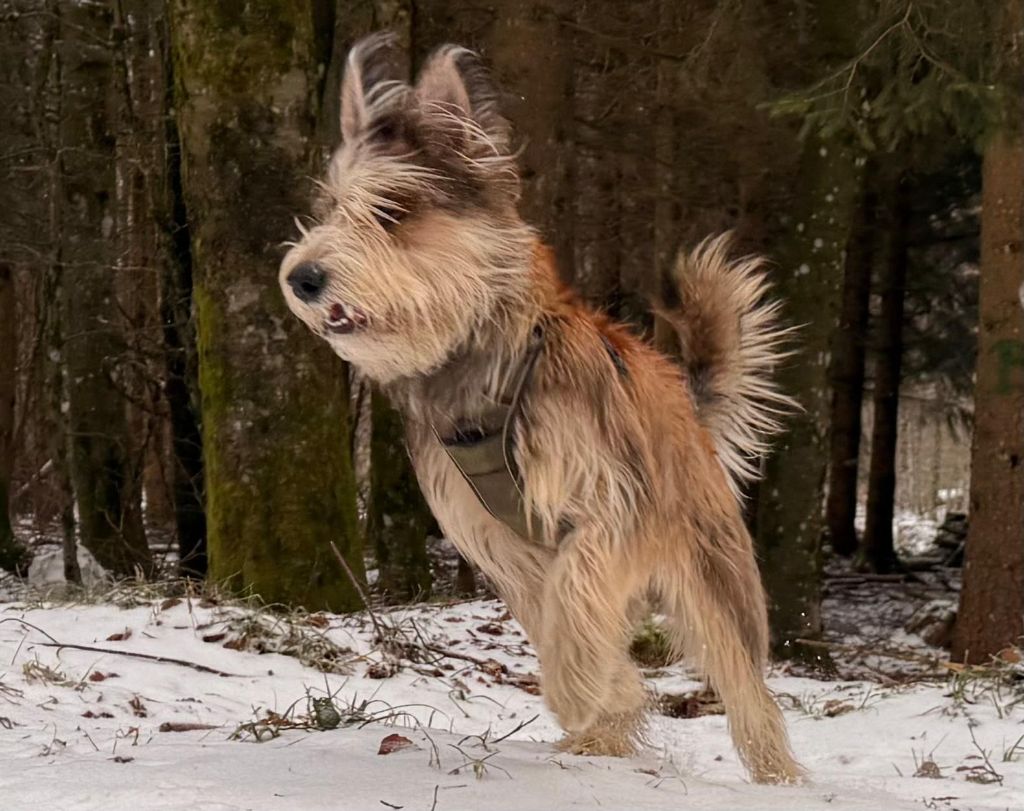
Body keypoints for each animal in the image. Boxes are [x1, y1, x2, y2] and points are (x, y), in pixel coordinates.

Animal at [282, 33, 806, 786]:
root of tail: (686, 403)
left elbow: (578, 586)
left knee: (744, 678)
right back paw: (605, 736)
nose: (302, 276)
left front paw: (583, 686)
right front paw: (606, 693)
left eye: (393, 212)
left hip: (712, 566)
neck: (484, 365)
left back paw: (776, 773)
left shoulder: (614, 504)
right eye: (327, 211)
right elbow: (556, 608)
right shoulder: (500, 540)